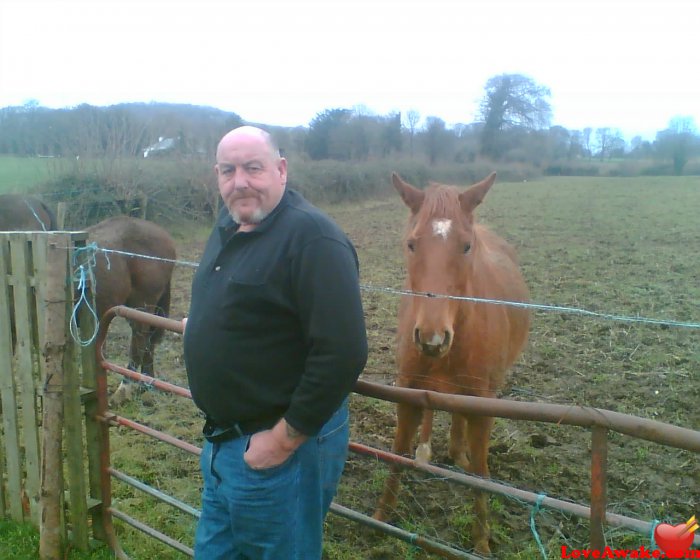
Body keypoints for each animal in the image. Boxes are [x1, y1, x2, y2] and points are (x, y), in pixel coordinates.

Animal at [372, 172, 532, 556]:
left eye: (466, 246)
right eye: (411, 244)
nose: (432, 337)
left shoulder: (483, 404)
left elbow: (483, 475)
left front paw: (481, 541)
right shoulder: (408, 393)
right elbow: (398, 452)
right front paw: (381, 518)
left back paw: (459, 455)